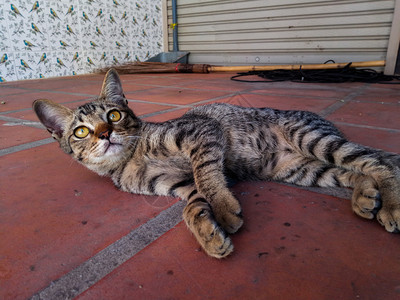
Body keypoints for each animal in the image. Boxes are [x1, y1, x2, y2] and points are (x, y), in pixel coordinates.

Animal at [32, 68, 400, 258]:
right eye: (81, 131)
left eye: (114, 115)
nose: (106, 133)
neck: (132, 158)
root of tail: (325, 122)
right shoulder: (177, 185)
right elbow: (192, 206)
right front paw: (209, 233)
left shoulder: (202, 134)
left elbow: (207, 175)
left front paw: (223, 208)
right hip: (301, 168)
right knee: (353, 171)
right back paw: (365, 197)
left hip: (312, 139)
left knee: (378, 162)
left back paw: (392, 206)